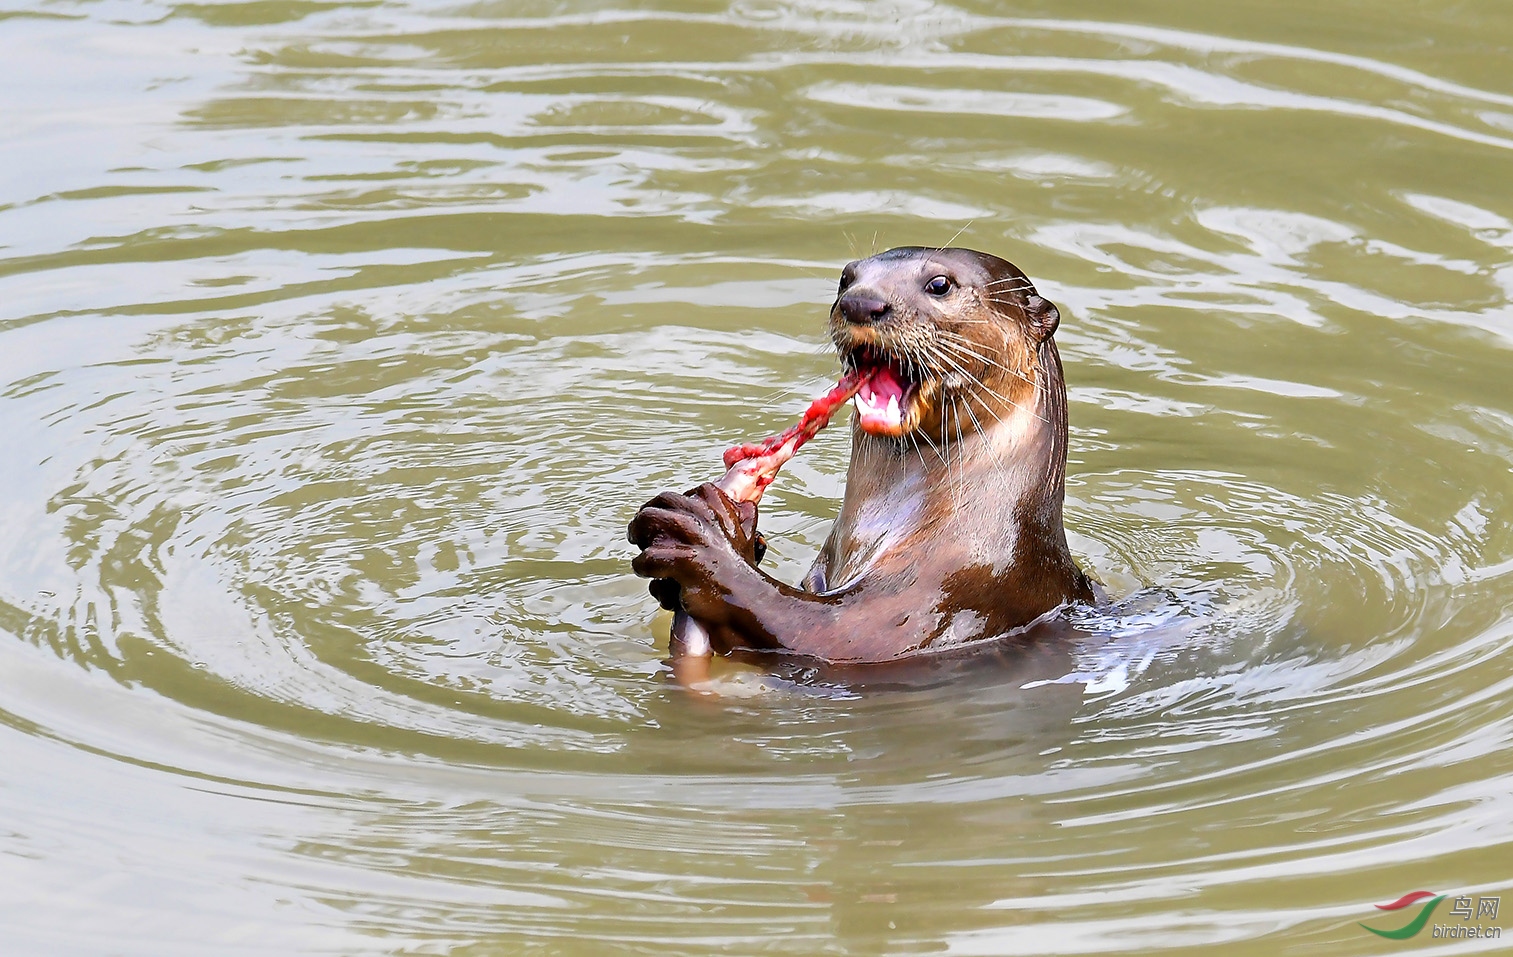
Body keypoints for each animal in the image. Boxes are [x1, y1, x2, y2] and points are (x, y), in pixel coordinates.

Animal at [620, 246, 1095, 659]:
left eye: (940, 284)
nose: (861, 303)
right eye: (847, 278)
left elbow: (830, 633)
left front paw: (705, 538)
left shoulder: (955, 590)